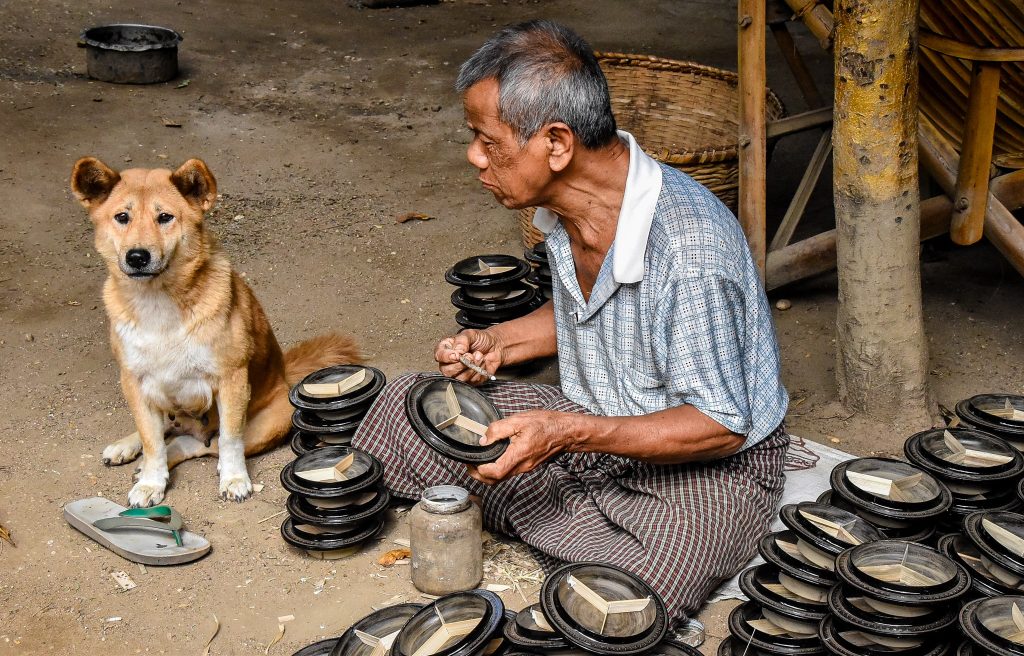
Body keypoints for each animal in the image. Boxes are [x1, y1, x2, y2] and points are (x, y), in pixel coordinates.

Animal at [72, 157, 360, 507]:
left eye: (165, 217)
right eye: (122, 217)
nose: (137, 257)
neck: (158, 302)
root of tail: (284, 373)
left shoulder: (231, 379)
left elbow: (229, 439)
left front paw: (234, 478)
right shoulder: (134, 383)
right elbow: (152, 442)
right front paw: (151, 481)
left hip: (272, 418)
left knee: (201, 444)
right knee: (166, 433)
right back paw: (127, 448)